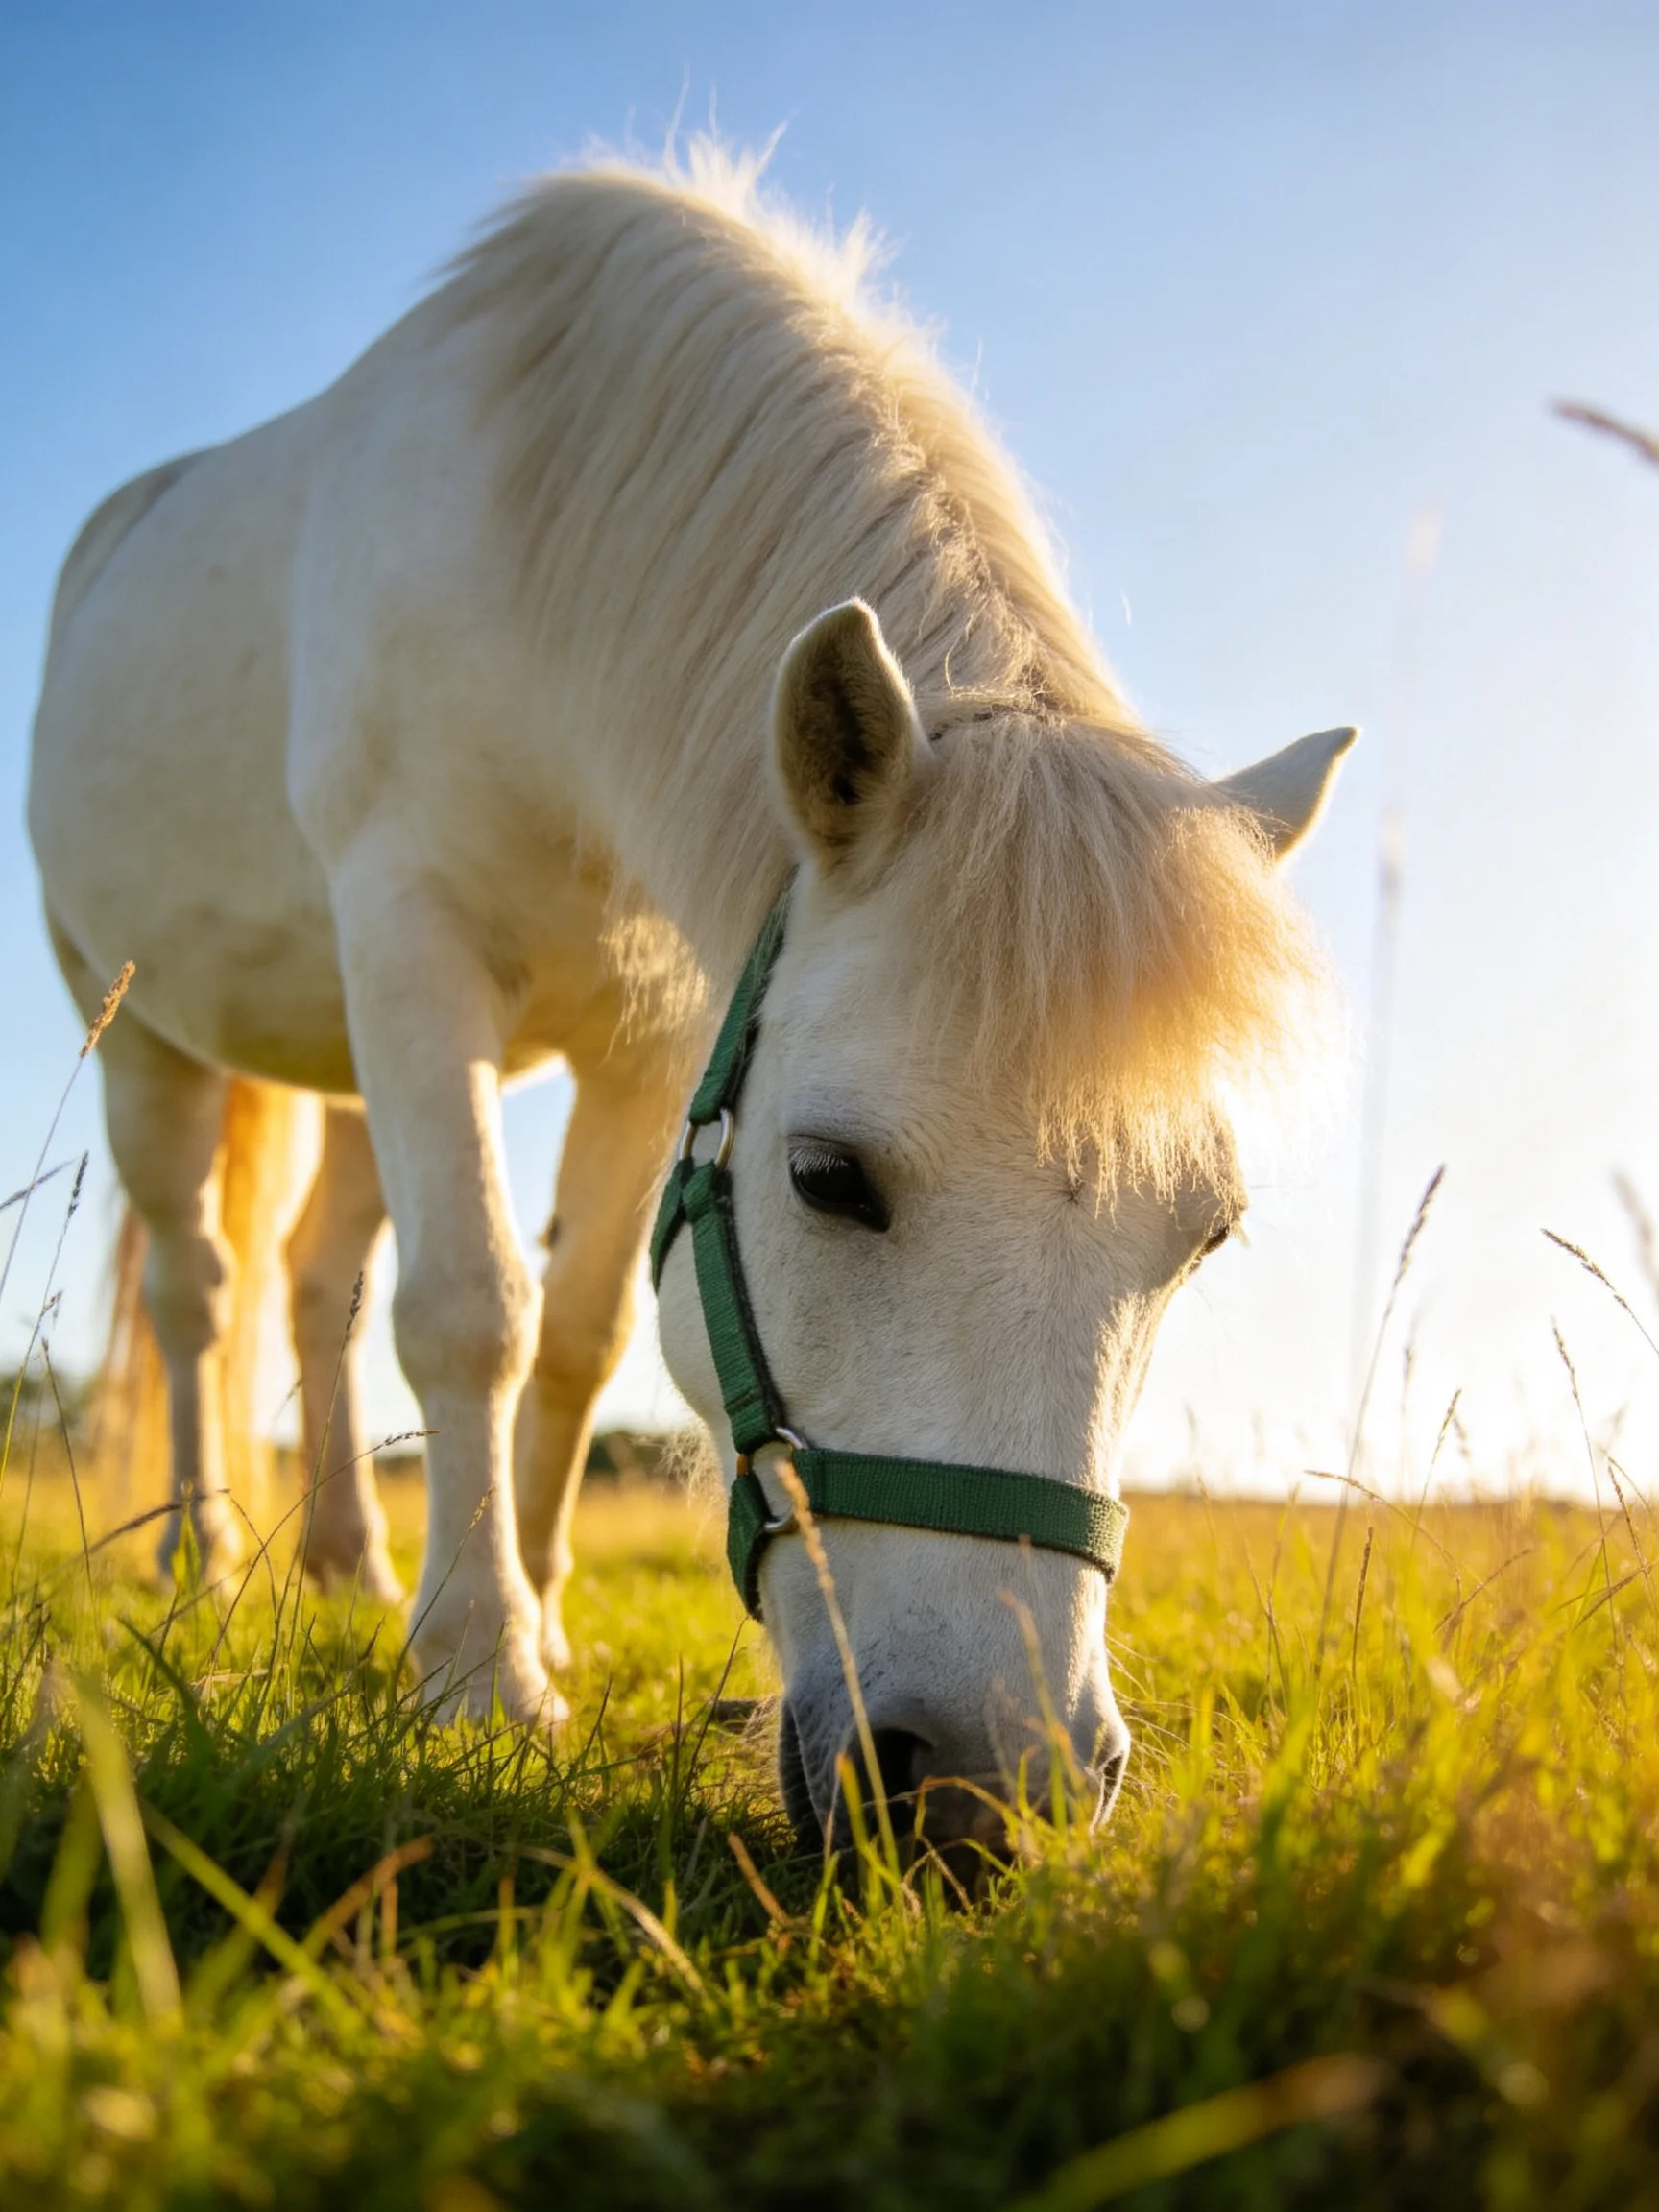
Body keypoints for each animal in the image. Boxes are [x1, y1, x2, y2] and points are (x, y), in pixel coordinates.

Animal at [28, 142, 1352, 1852]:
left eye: (1206, 1237)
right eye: (828, 1178)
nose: (989, 1790)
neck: (539, 537)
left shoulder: (649, 1039)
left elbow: (579, 1335)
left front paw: (529, 1616)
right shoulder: (413, 941)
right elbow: (473, 1310)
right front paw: (483, 1674)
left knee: (317, 1278)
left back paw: (351, 1563)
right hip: (152, 1039)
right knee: (197, 1293)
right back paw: (200, 1561)